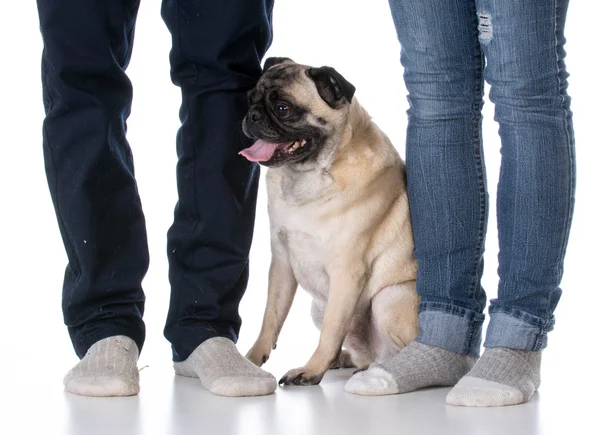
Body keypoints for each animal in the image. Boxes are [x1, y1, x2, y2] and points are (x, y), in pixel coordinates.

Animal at [238, 58, 418, 388]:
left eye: (283, 108)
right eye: (249, 100)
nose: (252, 115)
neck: (306, 177)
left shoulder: (346, 273)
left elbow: (331, 332)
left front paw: (310, 371)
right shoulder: (281, 263)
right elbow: (271, 318)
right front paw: (252, 360)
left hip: (389, 299)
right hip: (317, 307)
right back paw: (347, 360)